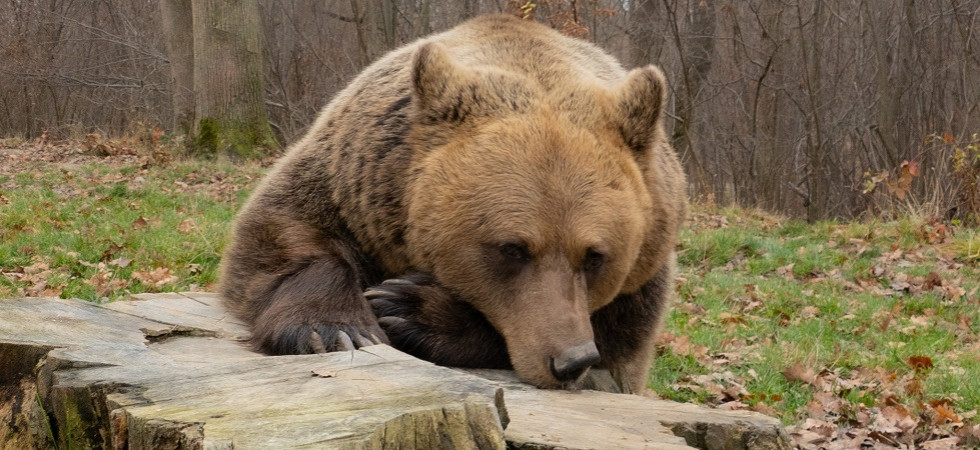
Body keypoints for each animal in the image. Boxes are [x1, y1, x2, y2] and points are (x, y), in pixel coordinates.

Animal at [219, 14, 687, 394]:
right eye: (512, 248)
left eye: (595, 256)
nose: (571, 360)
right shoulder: (351, 182)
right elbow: (283, 231)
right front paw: (335, 329)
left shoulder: (642, 280)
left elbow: (614, 336)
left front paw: (408, 308)